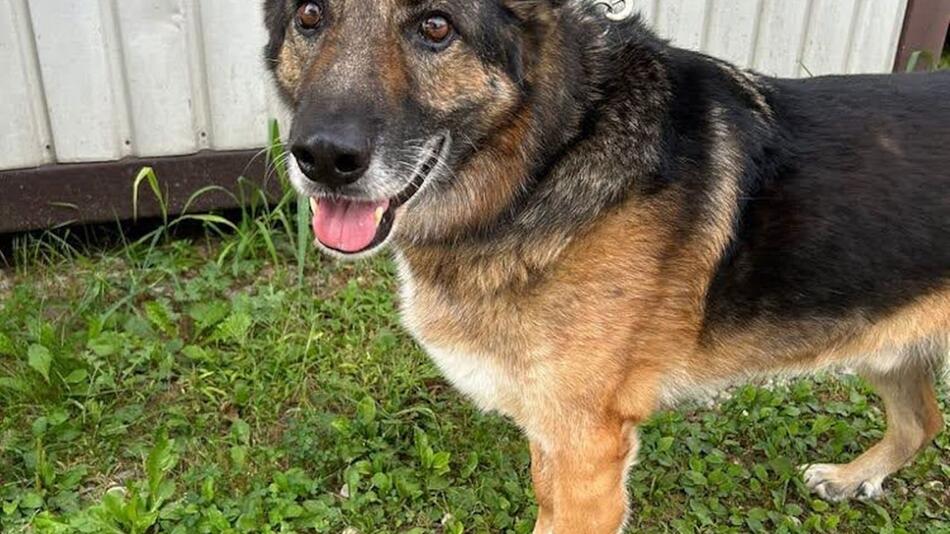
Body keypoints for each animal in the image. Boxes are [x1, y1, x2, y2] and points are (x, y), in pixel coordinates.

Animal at [262, 0, 950, 532]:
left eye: (436, 26)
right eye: (310, 15)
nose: (323, 159)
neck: (551, 152)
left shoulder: (586, 449)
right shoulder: (554, 438)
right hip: (881, 343)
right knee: (922, 422)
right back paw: (853, 478)